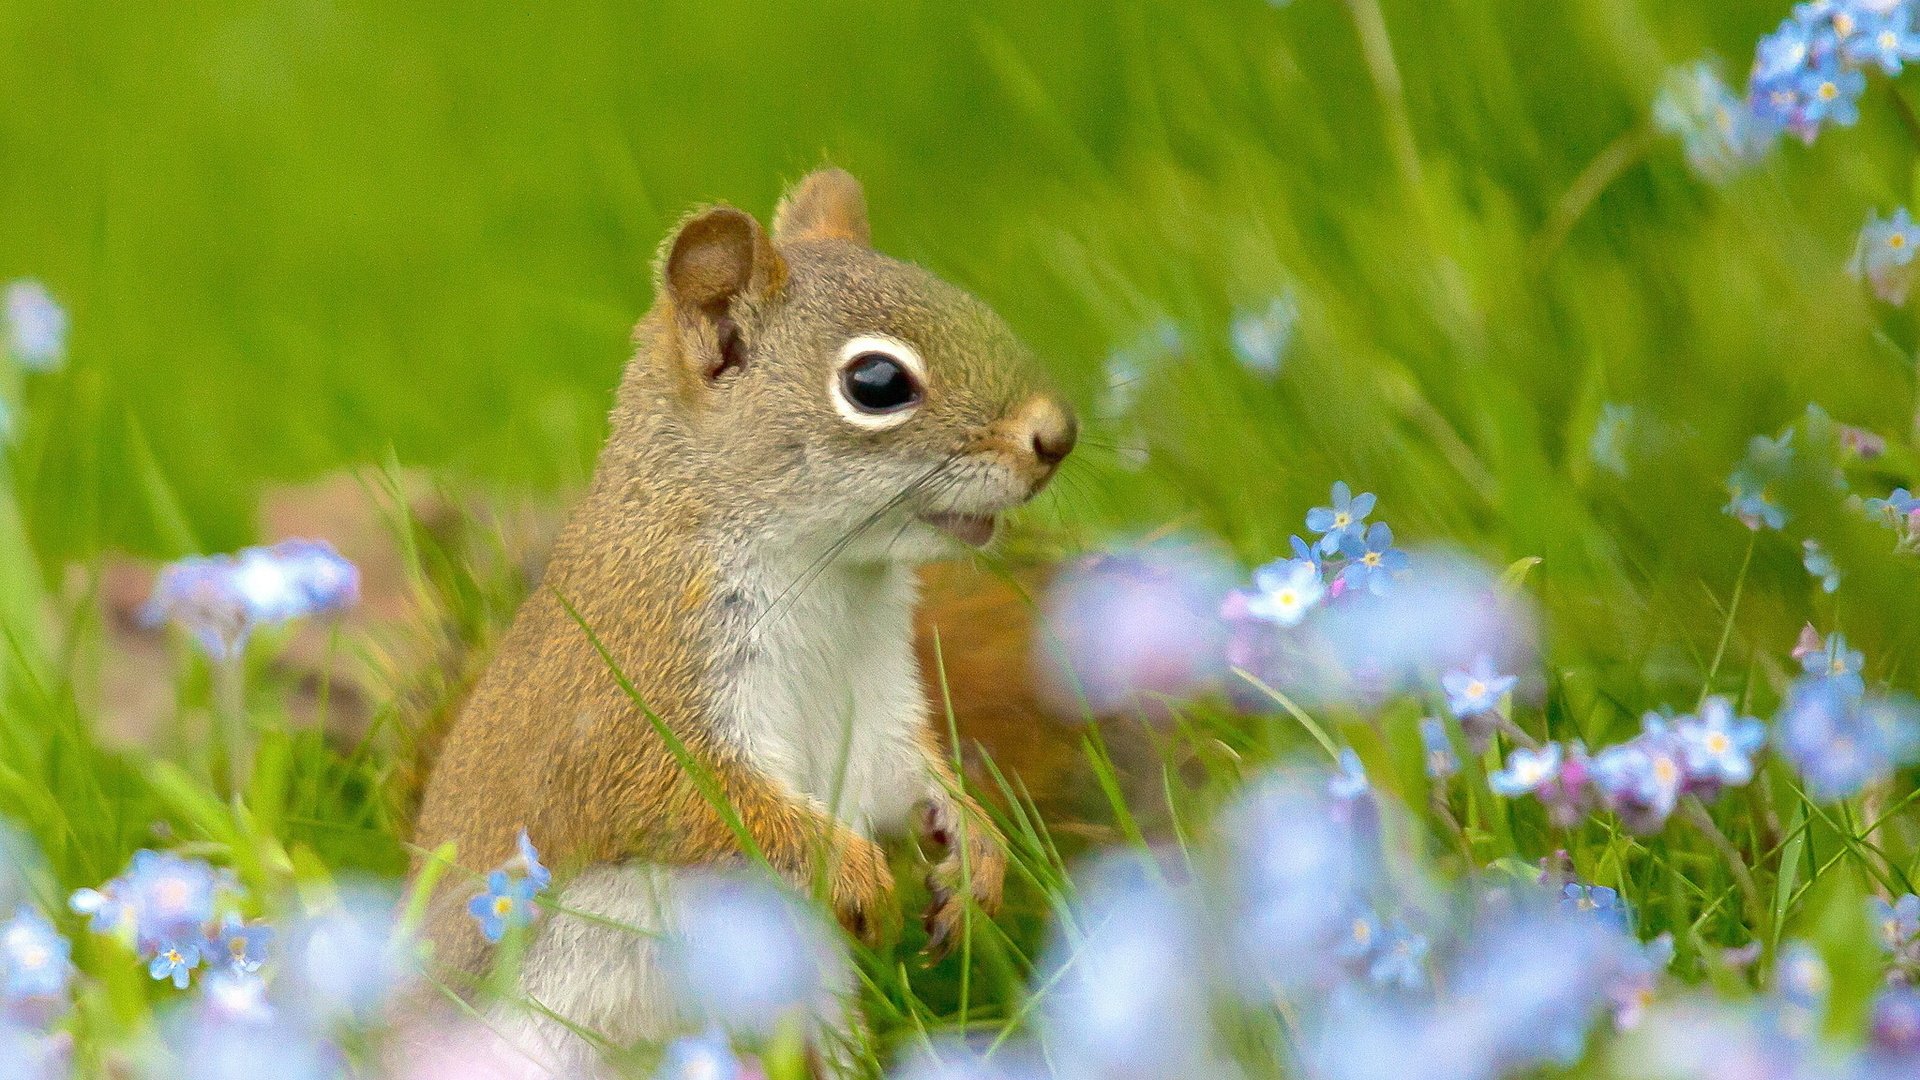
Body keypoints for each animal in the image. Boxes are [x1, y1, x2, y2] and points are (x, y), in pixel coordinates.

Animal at [410, 164, 1082, 1060]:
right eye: (877, 384)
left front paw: (975, 853)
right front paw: (856, 874)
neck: (831, 578)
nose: (1057, 436)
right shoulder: (638, 692)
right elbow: (696, 800)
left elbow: (901, 773)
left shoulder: (873, 702)